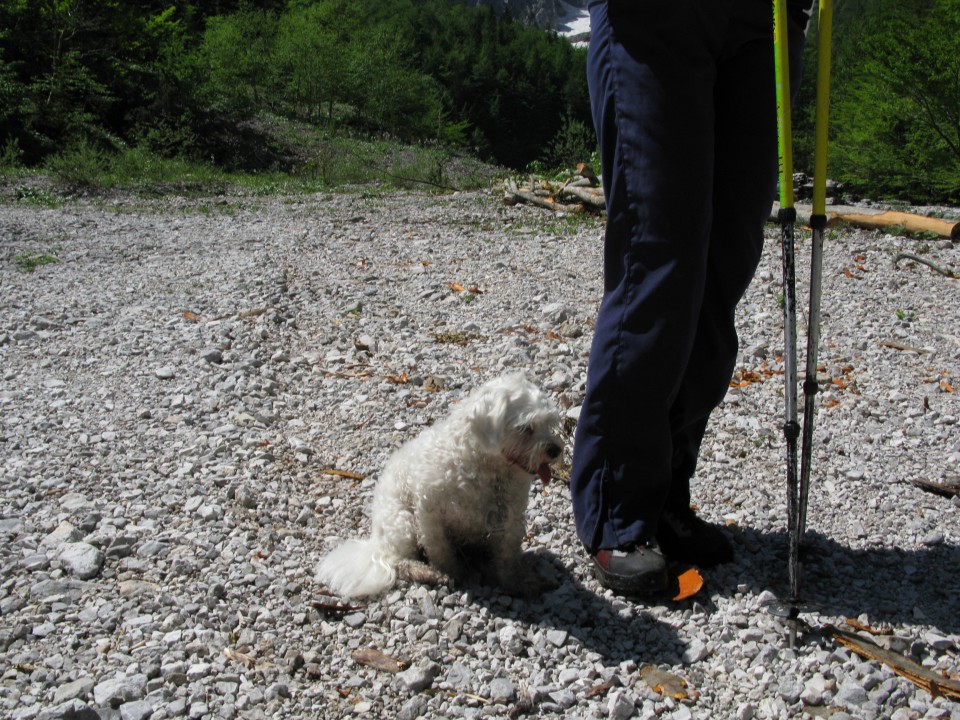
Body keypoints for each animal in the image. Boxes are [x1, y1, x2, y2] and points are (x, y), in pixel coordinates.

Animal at [318, 374, 568, 600]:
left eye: (549, 423)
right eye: (526, 428)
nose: (555, 449)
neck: (486, 468)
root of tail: (375, 545)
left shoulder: (510, 517)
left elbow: (507, 556)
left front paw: (517, 582)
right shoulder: (429, 511)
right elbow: (439, 549)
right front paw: (450, 572)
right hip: (402, 522)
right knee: (399, 562)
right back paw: (426, 572)